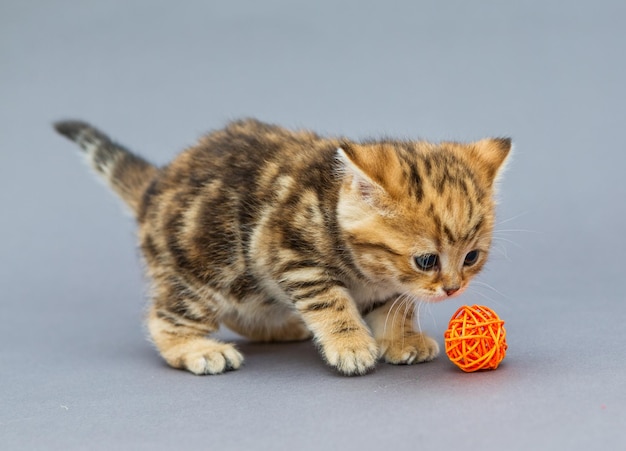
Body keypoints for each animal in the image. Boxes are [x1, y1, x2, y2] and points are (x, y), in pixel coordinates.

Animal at [54, 119, 508, 378]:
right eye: (426, 260)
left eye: (471, 257)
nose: (452, 289)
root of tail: (156, 184)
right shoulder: (290, 256)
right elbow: (331, 302)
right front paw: (351, 345)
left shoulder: (385, 283)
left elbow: (394, 304)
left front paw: (400, 338)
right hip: (207, 267)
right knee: (166, 319)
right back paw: (197, 349)